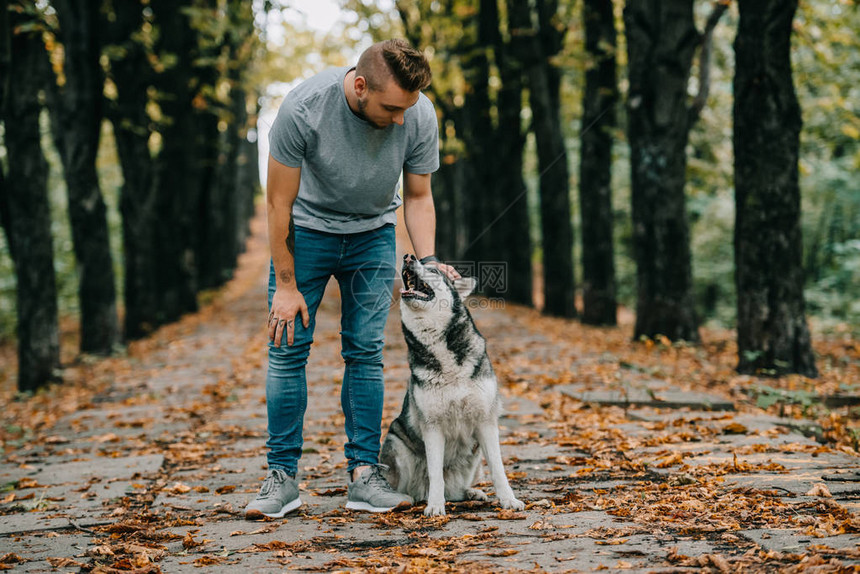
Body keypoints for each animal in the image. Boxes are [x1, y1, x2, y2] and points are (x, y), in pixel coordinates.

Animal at [382, 255, 524, 516]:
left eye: (433, 271)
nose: (408, 257)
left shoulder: (486, 422)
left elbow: (498, 469)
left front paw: (509, 500)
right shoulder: (432, 426)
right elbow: (435, 474)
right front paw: (435, 507)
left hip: (474, 457)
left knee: (456, 489)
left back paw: (471, 493)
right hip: (398, 446)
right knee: (416, 488)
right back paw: (410, 498)